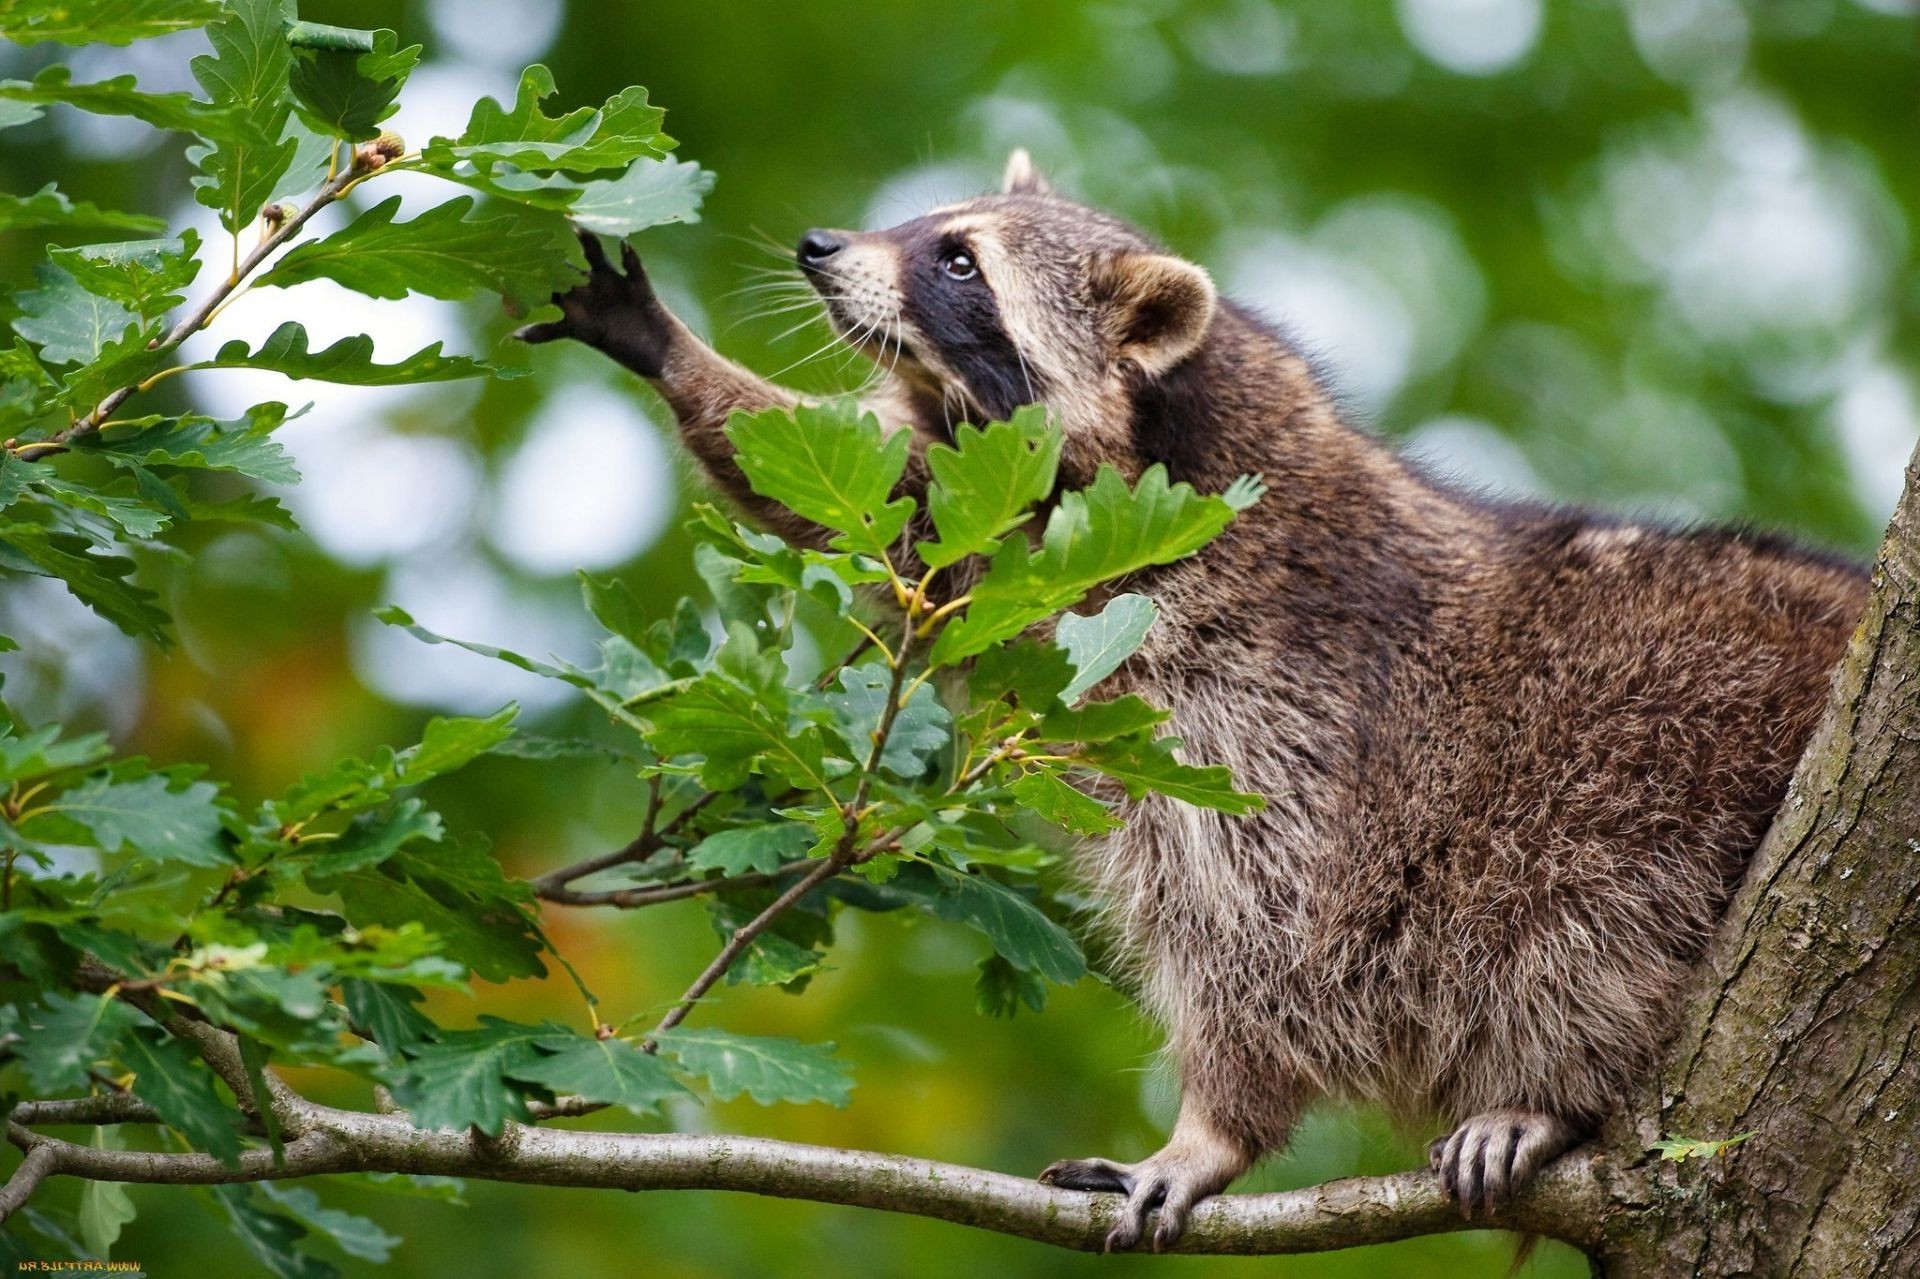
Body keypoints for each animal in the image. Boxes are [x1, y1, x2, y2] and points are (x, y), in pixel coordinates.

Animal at [518, 146, 1866, 1244]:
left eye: (959, 260)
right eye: (926, 220)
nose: (818, 248)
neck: (1167, 438)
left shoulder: (1272, 699)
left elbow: (1269, 935)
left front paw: (1211, 1131)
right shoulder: (993, 530)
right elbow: (848, 487)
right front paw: (673, 349)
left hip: (1659, 750)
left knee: (1578, 915)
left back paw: (1548, 1094)